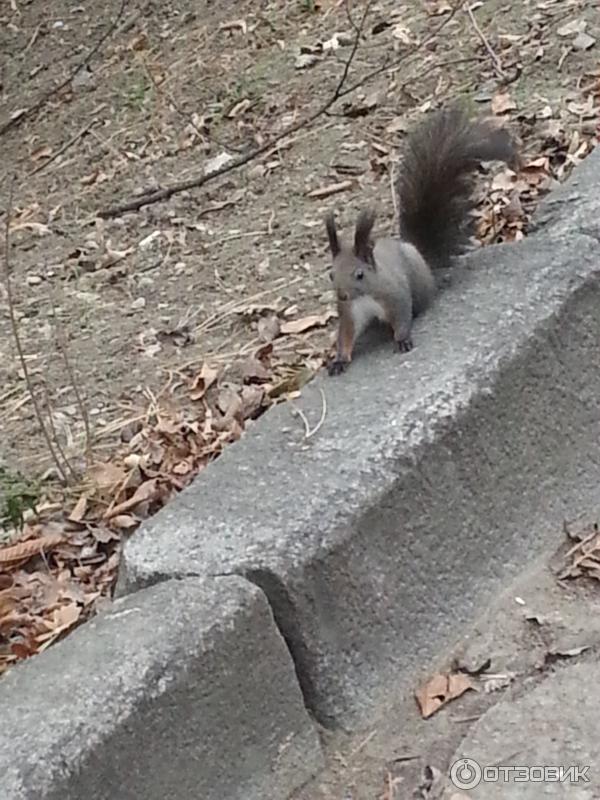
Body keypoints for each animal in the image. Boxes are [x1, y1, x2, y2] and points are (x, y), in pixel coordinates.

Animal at [326, 103, 516, 376]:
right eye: (331, 275)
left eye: (359, 274)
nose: (341, 295)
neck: (364, 297)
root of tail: (422, 258)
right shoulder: (349, 313)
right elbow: (346, 336)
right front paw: (340, 360)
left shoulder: (394, 295)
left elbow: (402, 316)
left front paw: (403, 339)